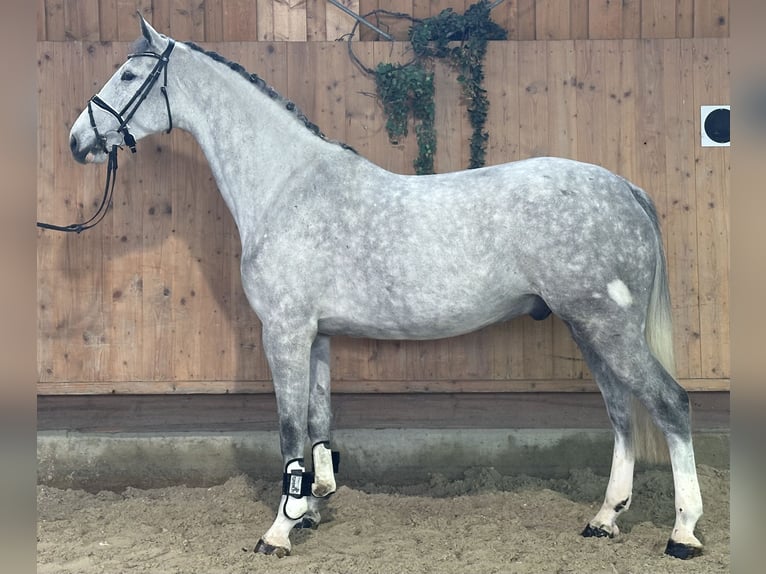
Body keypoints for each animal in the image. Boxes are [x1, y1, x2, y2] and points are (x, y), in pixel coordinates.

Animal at [64, 15, 704, 560]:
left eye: (128, 75)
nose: (77, 140)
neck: (287, 186)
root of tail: (623, 187)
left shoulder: (285, 332)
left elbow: (290, 428)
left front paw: (278, 532)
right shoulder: (317, 336)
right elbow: (318, 422)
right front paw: (309, 511)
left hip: (606, 326)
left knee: (669, 404)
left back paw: (683, 533)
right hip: (587, 327)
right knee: (621, 411)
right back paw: (604, 520)